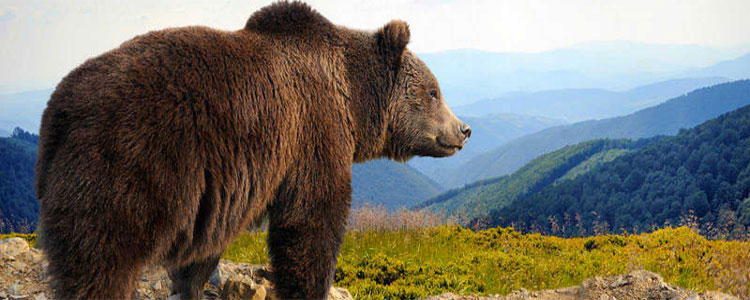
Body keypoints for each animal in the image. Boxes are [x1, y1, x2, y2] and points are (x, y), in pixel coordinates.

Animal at [36, 1, 470, 298]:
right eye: (434, 91)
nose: (464, 129)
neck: (353, 101)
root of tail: (60, 108)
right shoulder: (312, 132)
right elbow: (311, 221)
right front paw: (311, 285)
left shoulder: (219, 190)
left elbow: (204, 249)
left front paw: (190, 284)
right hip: (130, 163)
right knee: (102, 258)